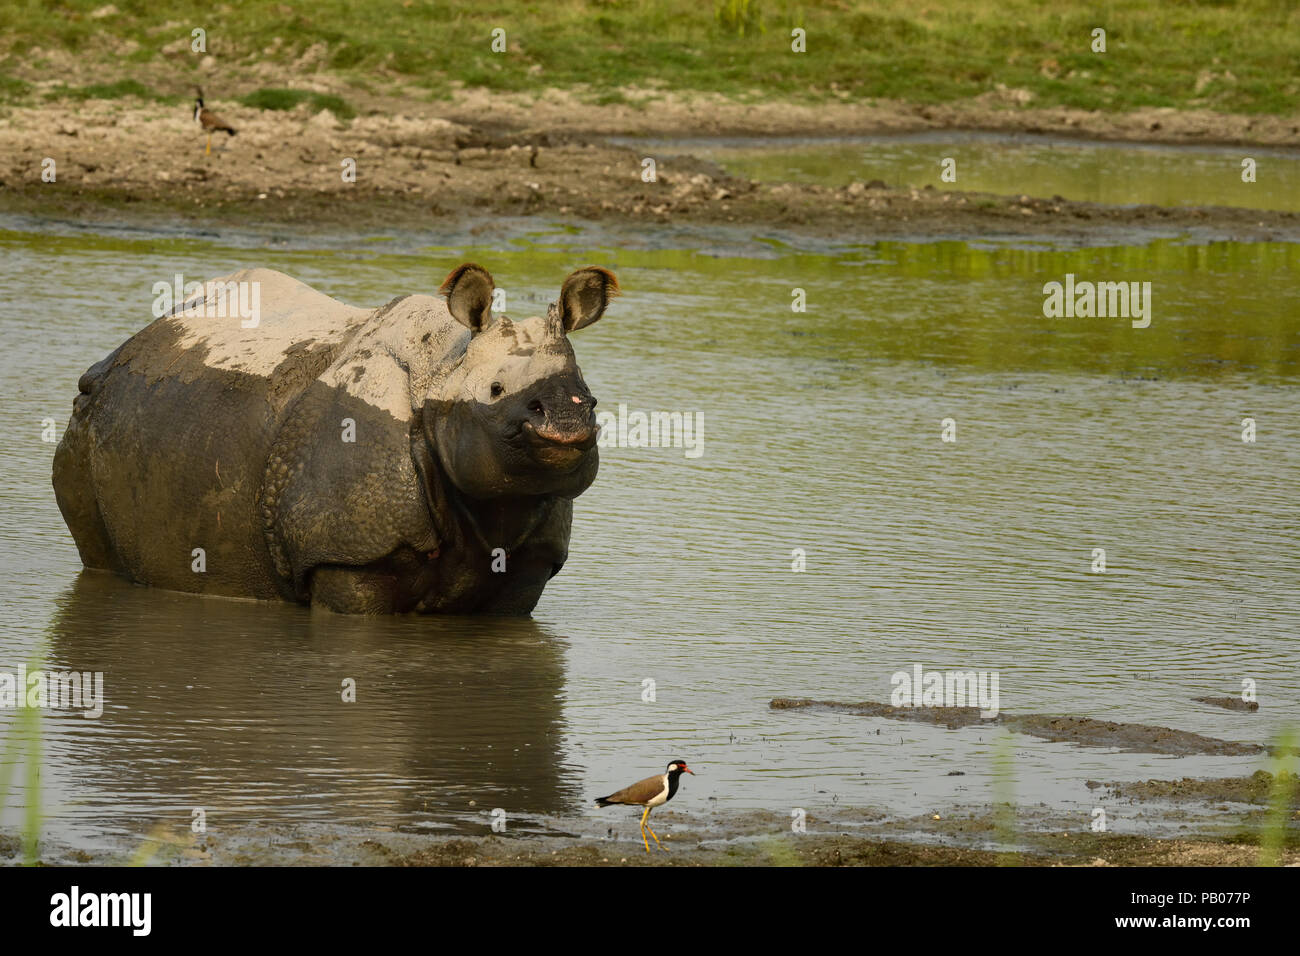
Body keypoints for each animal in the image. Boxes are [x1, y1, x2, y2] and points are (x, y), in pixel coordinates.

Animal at [52, 263, 618, 614]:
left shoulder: (530, 565)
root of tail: (132, 341)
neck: (443, 367)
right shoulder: (346, 556)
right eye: (496, 390)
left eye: (589, 399)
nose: (565, 421)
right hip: (87, 418)